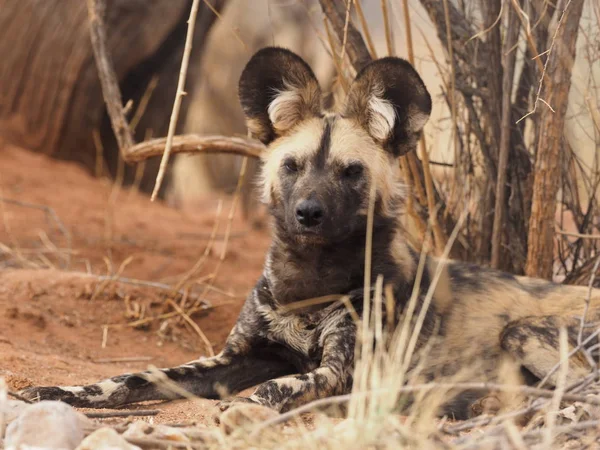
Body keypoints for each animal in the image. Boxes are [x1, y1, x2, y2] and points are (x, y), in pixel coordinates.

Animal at [21, 47, 600, 420]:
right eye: (292, 166)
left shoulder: (342, 372)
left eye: (351, 172)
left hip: (524, 333)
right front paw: (59, 392)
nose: (308, 213)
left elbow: (281, 386)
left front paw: (245, 408)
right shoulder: (237, 357)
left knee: (578, 394)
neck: (309, 280)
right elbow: (131, 378)